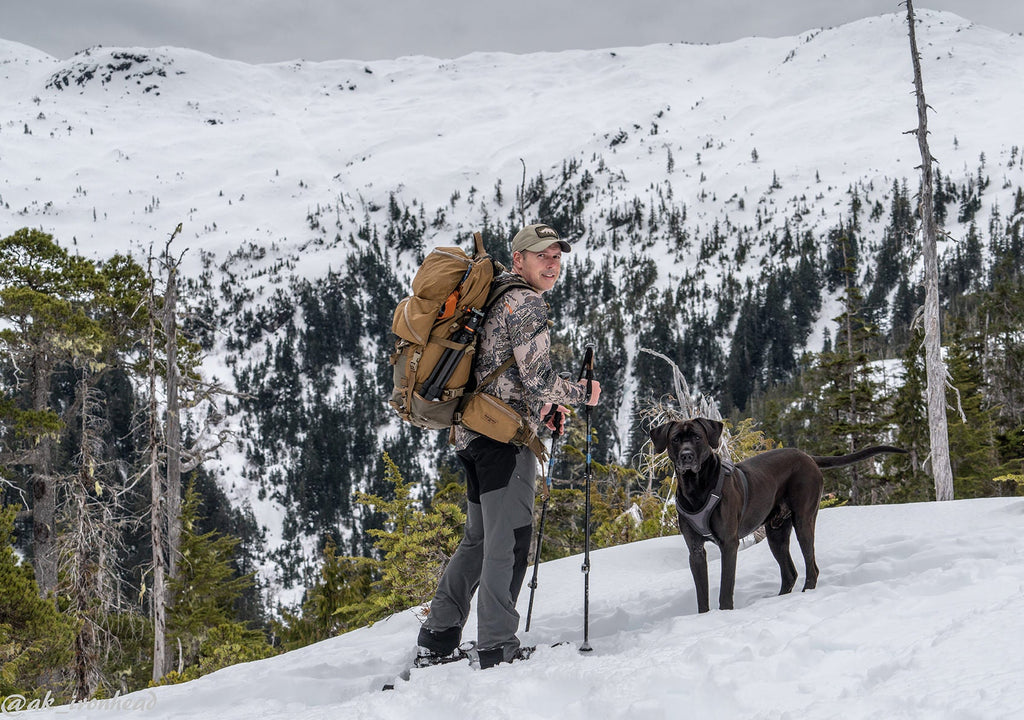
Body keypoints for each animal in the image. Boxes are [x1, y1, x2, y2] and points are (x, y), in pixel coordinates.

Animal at [651, 417, 909, 614]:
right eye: (675, 439)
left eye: (697, 438)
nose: (686, 456)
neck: (695, 487)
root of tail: (808, 456)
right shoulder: (695, 550)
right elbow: (701, 593)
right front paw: (704, 617)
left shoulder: (729, 544)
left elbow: (725, 588)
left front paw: (725, 613)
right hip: (776, 532)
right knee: (790, 573)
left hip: (804, 520)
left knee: (811, 567)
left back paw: (805, 593)